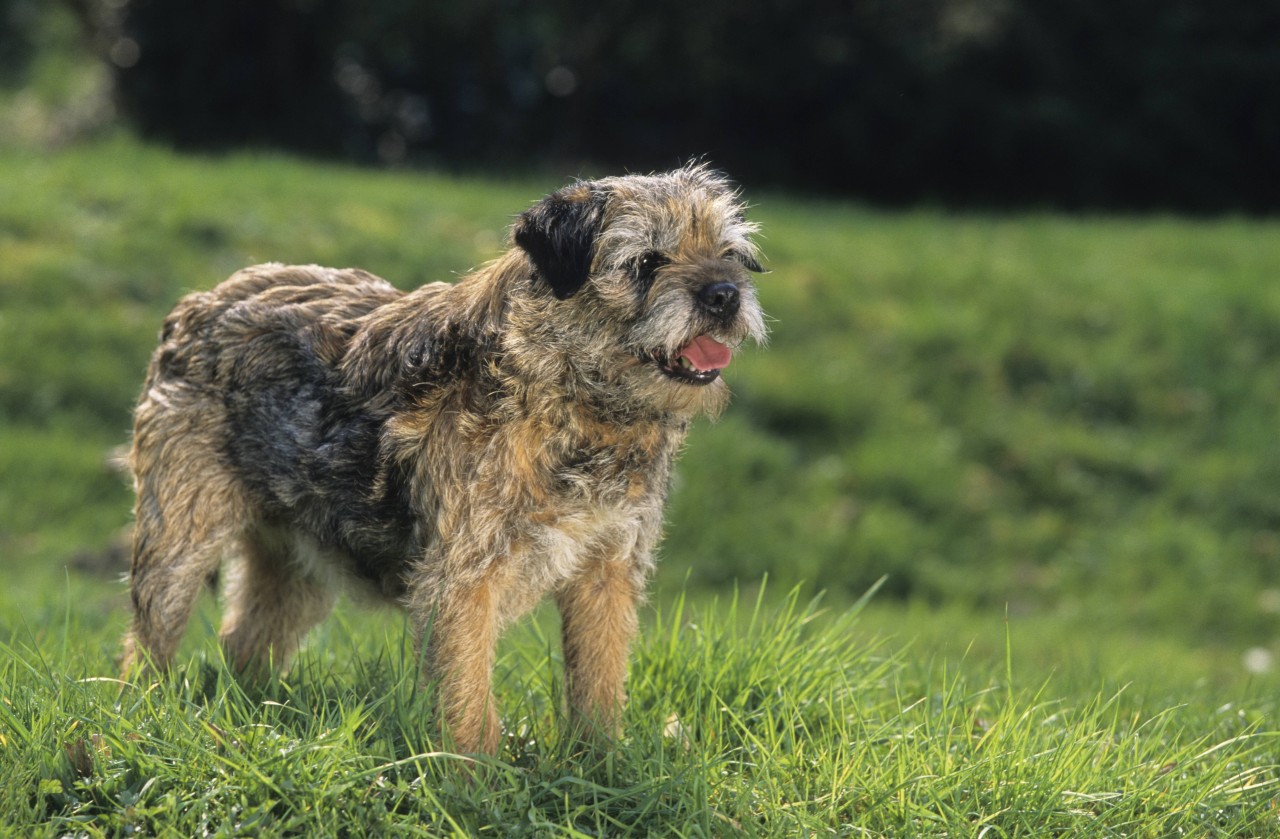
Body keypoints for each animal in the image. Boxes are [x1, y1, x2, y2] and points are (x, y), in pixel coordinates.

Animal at [124, 163, 768, 753]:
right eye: (646, 262)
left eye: (730, 255)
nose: (724, 295)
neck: (573, 402)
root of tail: (199, 302)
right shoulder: (463, 581)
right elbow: (468, 698)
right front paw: (475, 783)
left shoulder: (607, 570)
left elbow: (599, 682)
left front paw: (601, 768)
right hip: (178, 543)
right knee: (148, 645)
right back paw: (146, 719)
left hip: (298, 566)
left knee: (244, 643)